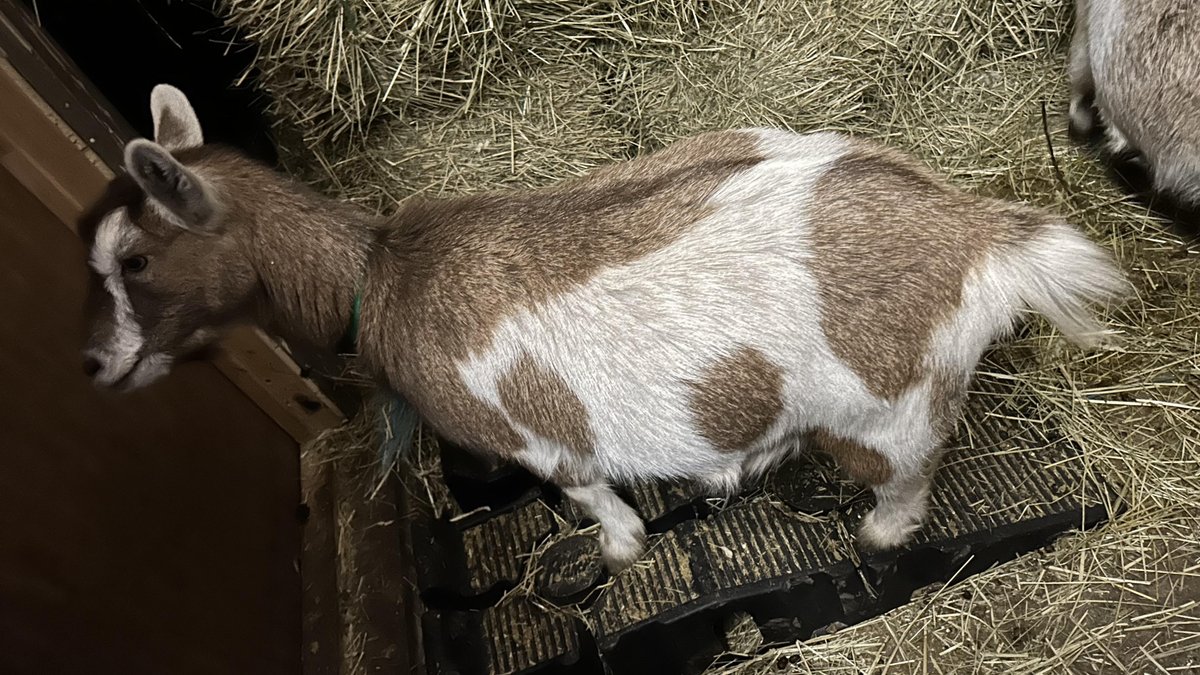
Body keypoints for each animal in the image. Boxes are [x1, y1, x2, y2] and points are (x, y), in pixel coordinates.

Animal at [82, 85, 1127, 571]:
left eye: (134, 261)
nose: (93, 363)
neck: (380, 274)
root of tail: (974, 232)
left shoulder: (534, 439)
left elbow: (586, 496)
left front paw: (621, 553)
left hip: (883, 409)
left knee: (908, 476)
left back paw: (877, 532)